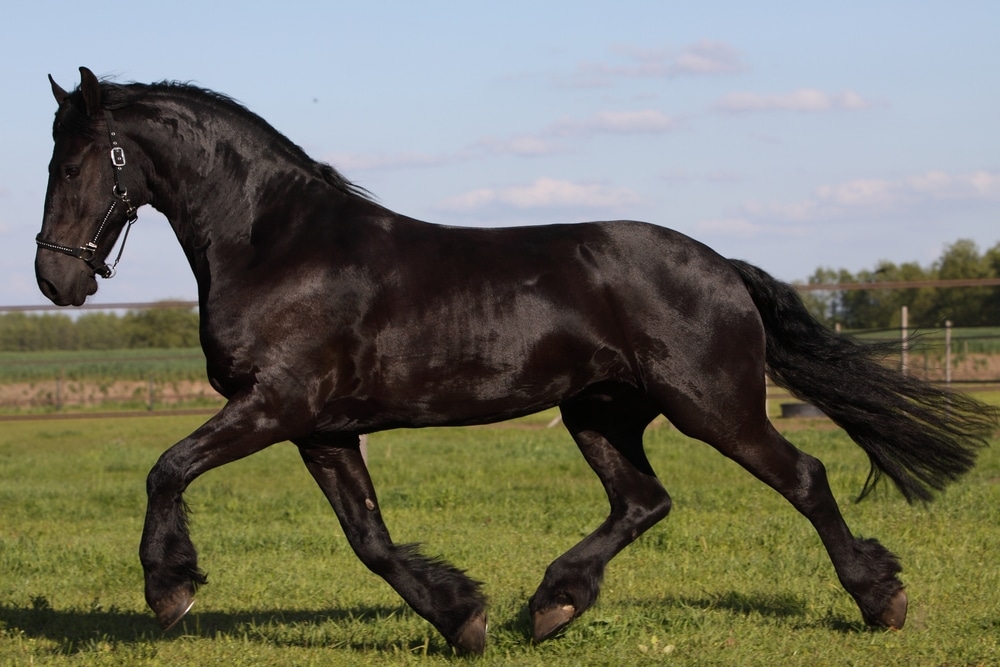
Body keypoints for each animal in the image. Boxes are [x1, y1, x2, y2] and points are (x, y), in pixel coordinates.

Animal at [35, 68, 996, 652]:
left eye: (76, 162)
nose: (55, 277)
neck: (281, 245)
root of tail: (720, 265)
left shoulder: (275, 405)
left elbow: (167, 467)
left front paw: (169, 589)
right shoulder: (322, 428)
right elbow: (369, 537)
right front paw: (464, 616)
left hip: (714, 405)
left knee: (803, 476)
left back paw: (880, 599)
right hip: (599, 410)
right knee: (644, 500)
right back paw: (554, 601)